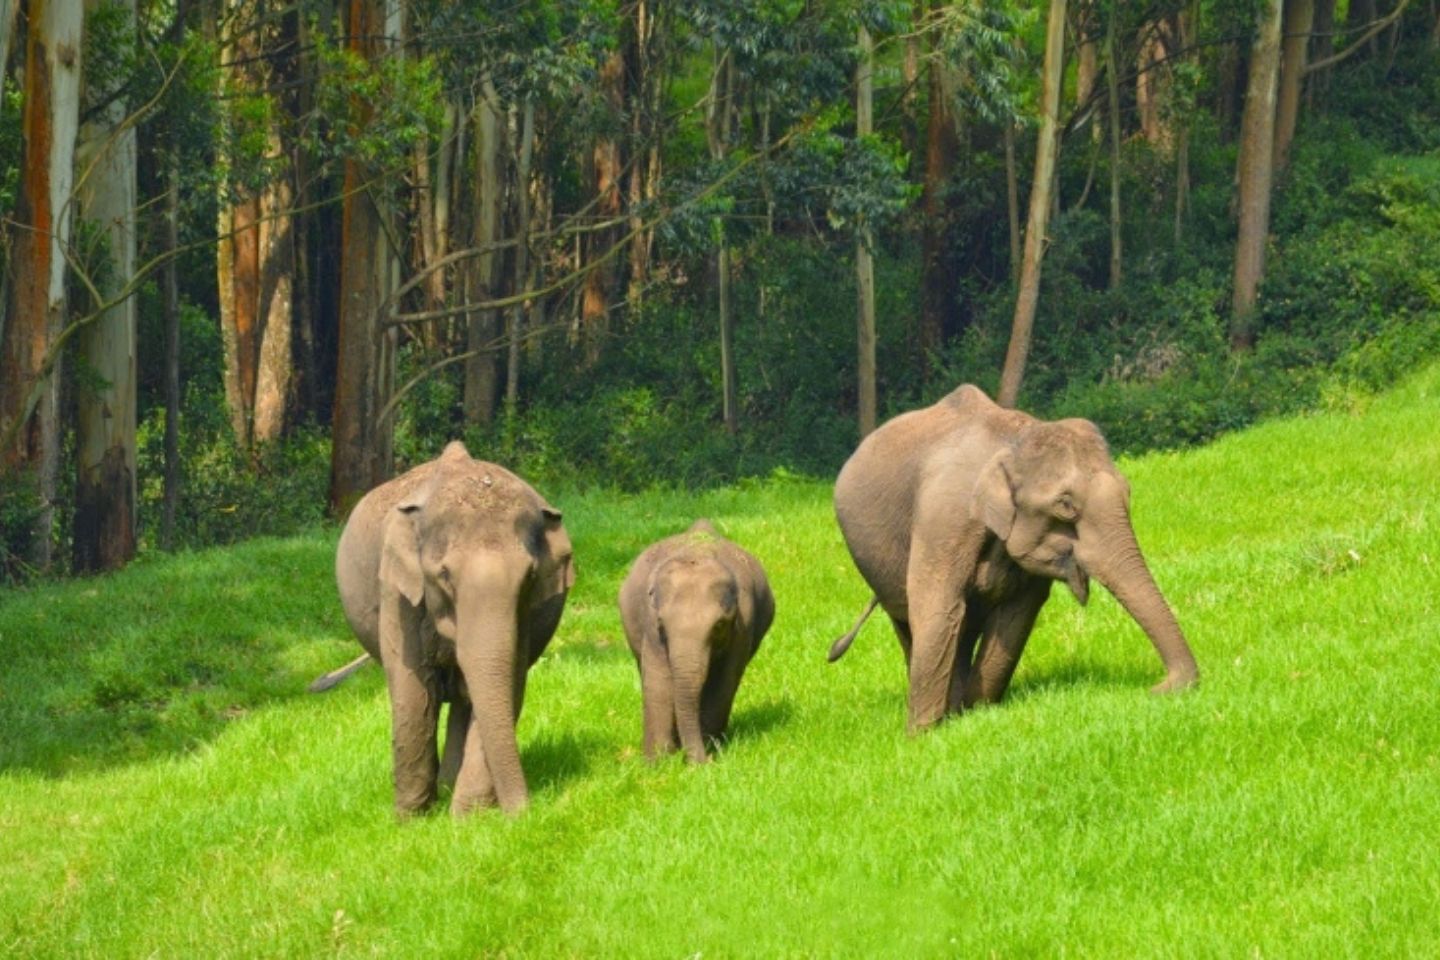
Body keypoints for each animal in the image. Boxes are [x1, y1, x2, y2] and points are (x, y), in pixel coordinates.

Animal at [331, 441, 574, 816]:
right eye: (444, 575)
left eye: (530, 576)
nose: (525, 814)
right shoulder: (397, 592)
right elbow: (413, 693)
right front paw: (411, 818)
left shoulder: (525, 615)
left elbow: (507, 684)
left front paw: (466, 818)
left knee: (463, 699)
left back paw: (448, 787)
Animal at [618, 520, 775, 764]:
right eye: (662, 624)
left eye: (719, 625)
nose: (703, 761)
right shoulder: (650, 624)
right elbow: (658, 679)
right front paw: (658, 762)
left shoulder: (743, 625)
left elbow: (723, 681)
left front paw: (708, 749)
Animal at [830, 384, 1198, 732]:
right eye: (1065, 505)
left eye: (1128, 492)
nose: (1157, 689)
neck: (1013, 439)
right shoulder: (942, 519)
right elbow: (939, 609)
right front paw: (923, 736)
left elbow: (1016, 615)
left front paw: (974, 713)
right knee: (910, 622)